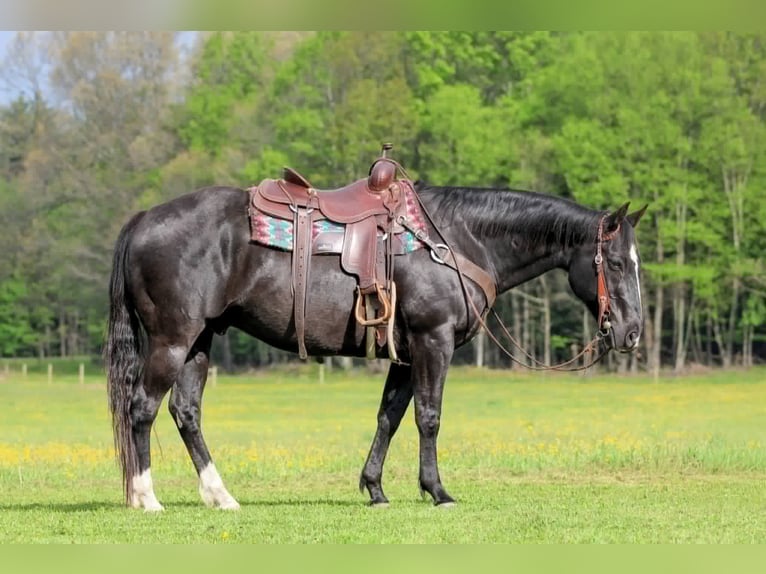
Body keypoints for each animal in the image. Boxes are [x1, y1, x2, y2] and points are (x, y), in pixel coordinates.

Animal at [105, 181, 646, 510]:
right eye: (618, 263)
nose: (632, 332)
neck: (459, 240)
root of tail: (143, 219)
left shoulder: (405, 354)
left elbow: (390, 415)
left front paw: (375, 488)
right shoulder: (433, 341)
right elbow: (429, 416)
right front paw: (437, 490)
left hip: (199, 341)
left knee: (186, 412)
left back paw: (221, 496)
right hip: (172, 340)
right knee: (142, 407)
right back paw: (145, 497)